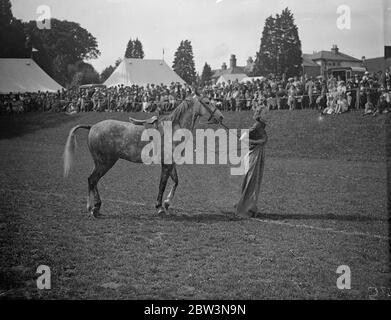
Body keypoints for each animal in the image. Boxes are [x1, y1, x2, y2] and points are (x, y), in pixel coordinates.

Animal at [63, 96, 225, 218]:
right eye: (208, 102)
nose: (221, 116)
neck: (172, 130)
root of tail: (92, 127)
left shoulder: (170, 164)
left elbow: (176, 181)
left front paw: (167, 203)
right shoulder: (166, 164)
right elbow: (162, 184)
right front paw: (159, 207)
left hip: (99, 163)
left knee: (92, 181)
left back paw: (94, 207)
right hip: (105, 163)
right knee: (92, 180)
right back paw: (93, 208)